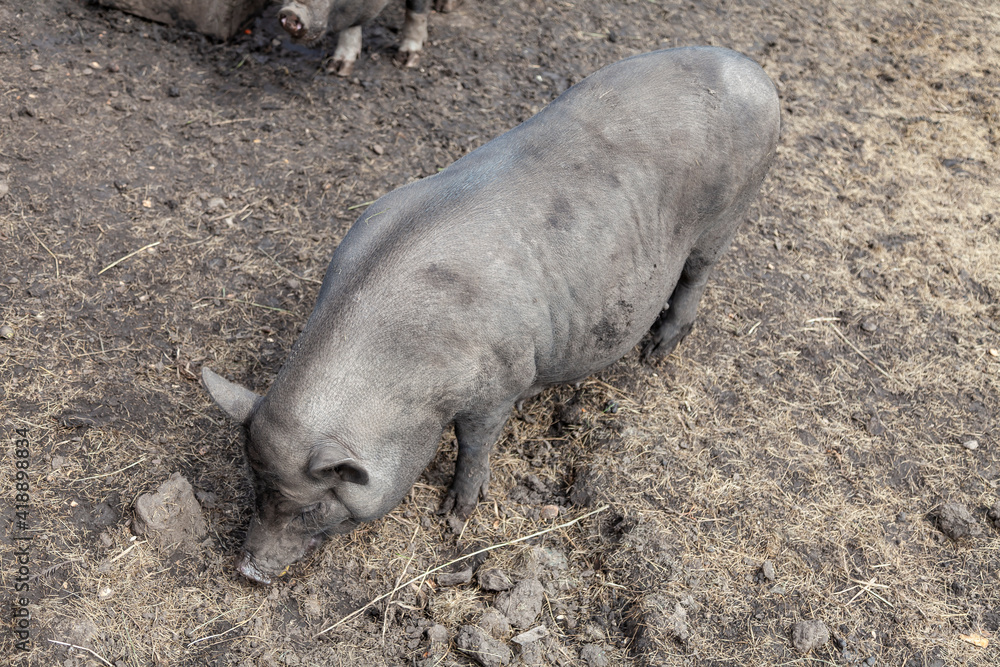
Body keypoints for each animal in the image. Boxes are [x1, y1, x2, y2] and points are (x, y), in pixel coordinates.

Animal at [203, 46, 780, 584]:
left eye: (313, 506)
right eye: (256, 486)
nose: (248, 569)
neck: (407, 377)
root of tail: (754, 73)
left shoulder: (500, 381)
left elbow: (476, 444)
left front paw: (454, 517)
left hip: (729, 211)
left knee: (697, 274)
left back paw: (656, 354)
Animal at [278, 0, 457, 76]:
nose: (290, 11)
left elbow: (416, 10)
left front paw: (407, 61)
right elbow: (351, 26)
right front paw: (337, 69)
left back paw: (444, 8)